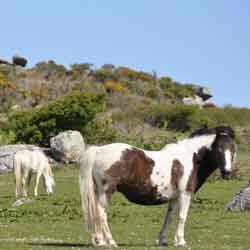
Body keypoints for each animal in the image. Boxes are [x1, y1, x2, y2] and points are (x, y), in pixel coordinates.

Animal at [79, 126, 236, 247]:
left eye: (233, 150)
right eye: (219, 149)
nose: (227, 173)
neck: (191, 157)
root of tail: (99, 150)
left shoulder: (174, 198)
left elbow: (169, 218)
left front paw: (162, 240)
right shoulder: (185, 194)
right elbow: (182, 217)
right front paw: (181, 241)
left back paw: (100, 241)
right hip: (106, 192)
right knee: (101, 213)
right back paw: (110, 242)